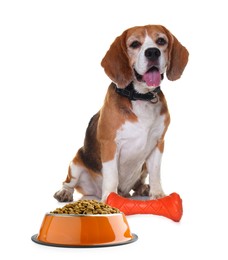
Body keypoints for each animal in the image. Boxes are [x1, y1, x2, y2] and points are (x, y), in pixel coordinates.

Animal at [54, 24, 189, 202]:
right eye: (134, 44)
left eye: (161, 41)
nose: (153, 52)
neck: (140, 97)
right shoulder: (110, 145)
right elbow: (112, 176)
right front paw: (109, 198)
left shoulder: (158, 143)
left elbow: (155, 173)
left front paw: (158, 195)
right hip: (75, 164)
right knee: (68, 183)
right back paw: (64, 193)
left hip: (143, 167)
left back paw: (143, 188)